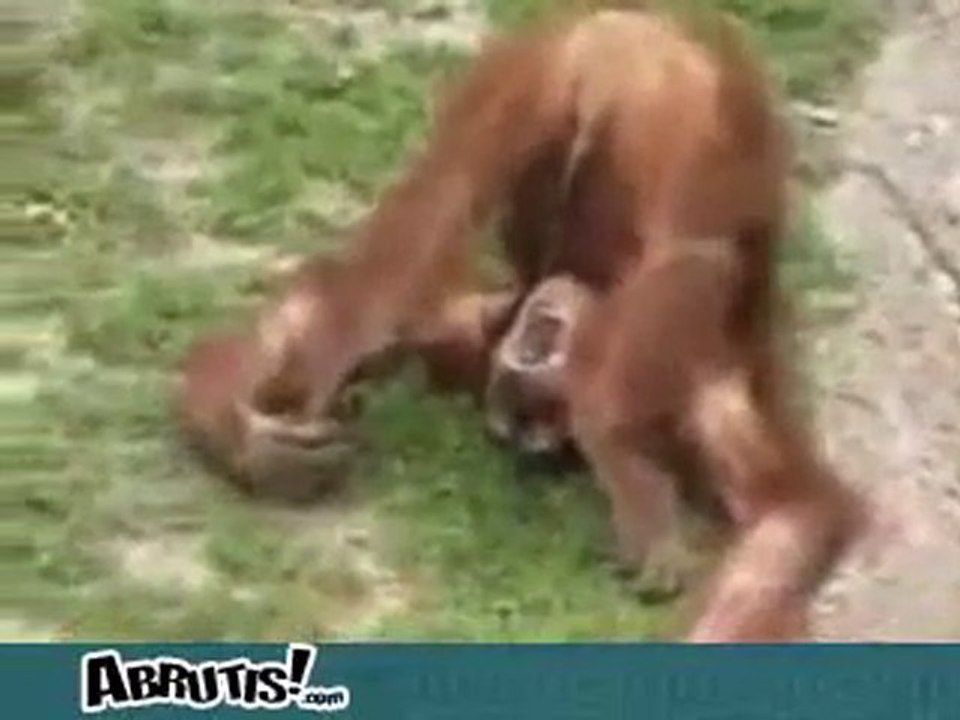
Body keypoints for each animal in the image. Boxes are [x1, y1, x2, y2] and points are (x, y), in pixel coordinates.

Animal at [176, 7, 864, 640]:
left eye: (534, 412)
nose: (532, 354)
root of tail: (637, 31)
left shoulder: (494, 345)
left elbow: (785, 523)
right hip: (632, 97)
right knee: (672, 244)